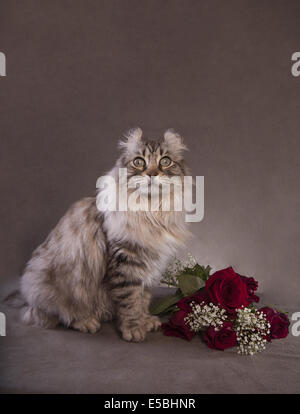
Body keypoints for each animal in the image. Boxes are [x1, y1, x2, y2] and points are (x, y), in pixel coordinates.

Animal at [8, 128, 190, 342]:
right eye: (139, 162)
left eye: (165, 161)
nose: (152, 174)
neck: (151, 213)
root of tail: (26, 294)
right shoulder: (125, 263)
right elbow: (130, 301)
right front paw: (133, 328)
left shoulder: (148, 266)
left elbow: (142, 298)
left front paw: (144, 320)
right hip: (55, 286)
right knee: (57, 314)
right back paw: (87, 321)